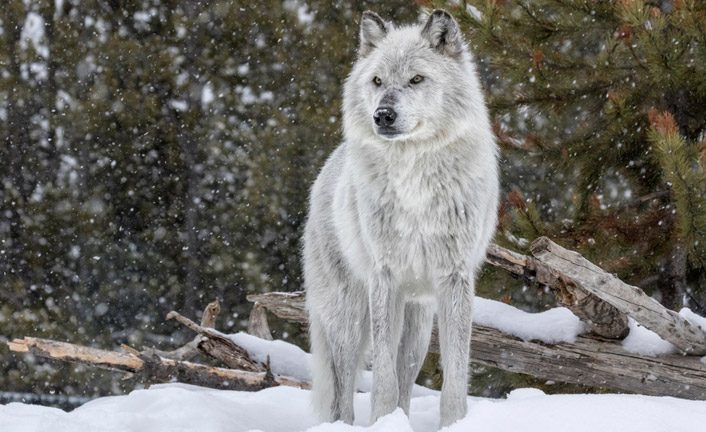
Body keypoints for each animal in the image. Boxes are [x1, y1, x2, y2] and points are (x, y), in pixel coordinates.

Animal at [303, 9, 499, 428]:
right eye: (377, 81)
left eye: (416, 79)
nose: (383, 115)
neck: (415, 178)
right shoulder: (385, 277)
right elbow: (383, 380)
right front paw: (382, 421)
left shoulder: (454, 278)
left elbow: (455, 376)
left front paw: (455, 424)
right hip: (348, 317)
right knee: (343, 393)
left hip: (419, 323)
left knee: (406, 372)